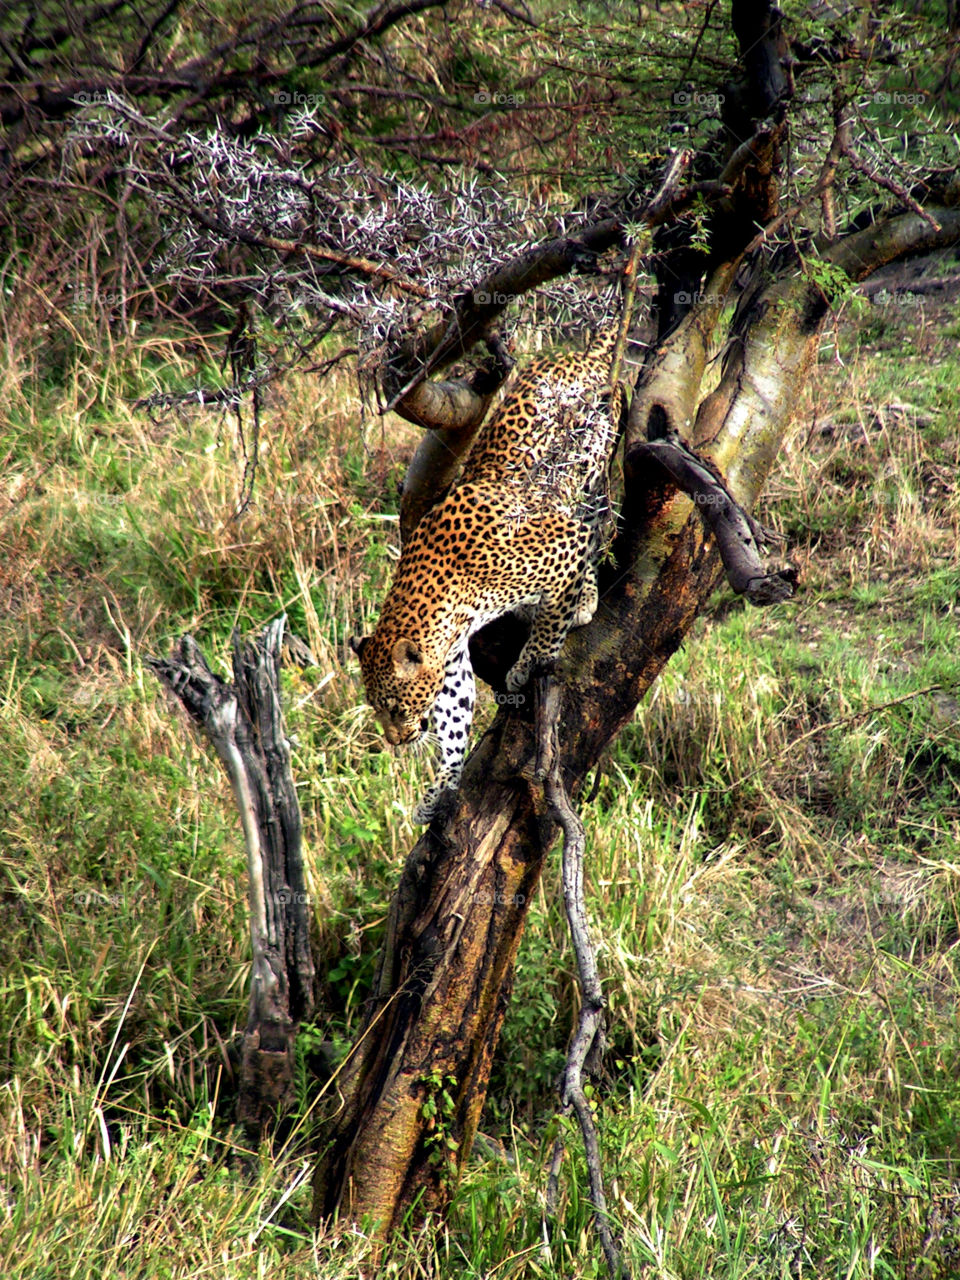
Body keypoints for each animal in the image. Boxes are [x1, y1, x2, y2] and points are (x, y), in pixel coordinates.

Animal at [351, 327, 626, 823]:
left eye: (394, 707)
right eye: (378, 708)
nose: (395, 741)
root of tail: (582, 352)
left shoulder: (561, 540)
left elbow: (551, 624)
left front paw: (529, 664)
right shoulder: (452, 660)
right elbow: (455, 717)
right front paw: (441, 787)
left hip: (590, 476)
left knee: (598, 524)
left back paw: (585, 598)